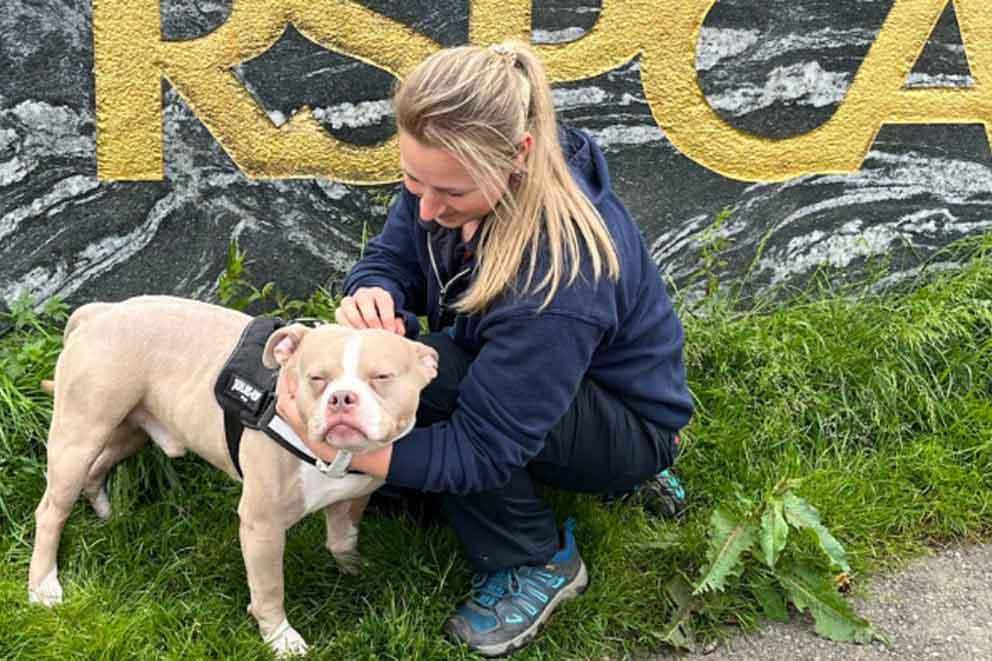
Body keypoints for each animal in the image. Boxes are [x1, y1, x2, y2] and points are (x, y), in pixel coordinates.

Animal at [26, 296, 438, 656]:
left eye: (381, 377)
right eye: (316, 378)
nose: (341, 399)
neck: (335, 458)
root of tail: (101, 311)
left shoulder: (354, 495)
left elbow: (343, 539)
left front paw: (355, 569)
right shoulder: (262, 526)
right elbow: (270, 588)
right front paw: (280, 638)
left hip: (128, 429)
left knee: (96, 469)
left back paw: (107, 514)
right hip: (79, 435)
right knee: (51, 510)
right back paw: (43, 586)